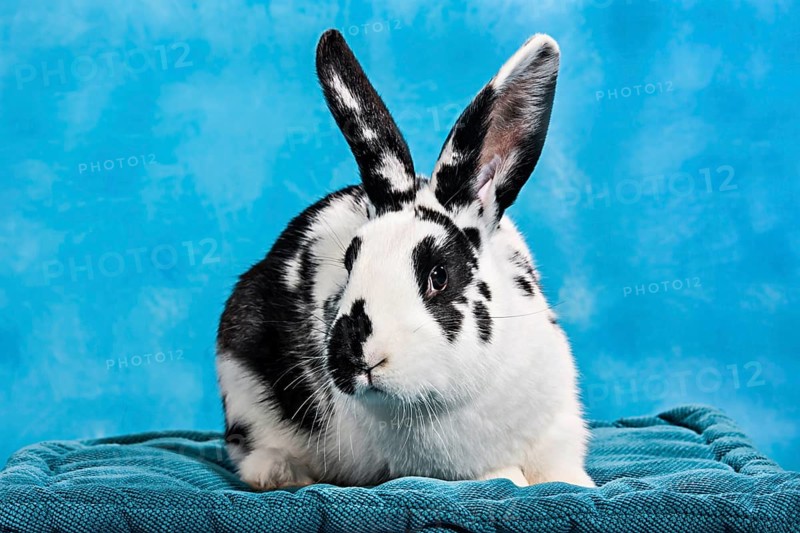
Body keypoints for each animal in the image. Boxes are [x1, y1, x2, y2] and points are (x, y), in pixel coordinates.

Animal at [216, 29, 594, 490]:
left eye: (439, 275)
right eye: (350, 265)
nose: (361, 357)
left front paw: (577, 484)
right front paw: (510, 478)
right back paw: (277, 473)